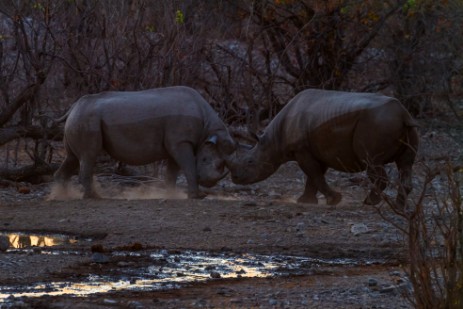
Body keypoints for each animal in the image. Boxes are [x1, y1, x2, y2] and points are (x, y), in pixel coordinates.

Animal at [54, 85, 236, 199]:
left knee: (73, 158)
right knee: (88, 155)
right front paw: (197, 197)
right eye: (205, 160)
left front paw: (171, 195)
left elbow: (172, 172)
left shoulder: (176, 144)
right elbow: (189, 166)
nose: (208, 183)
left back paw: (62, 196)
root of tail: (73, 107)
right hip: (87, 119)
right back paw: (94, 197)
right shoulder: (181, 142)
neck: (208, 130)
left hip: (81, 118)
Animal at [228, 88, 420, 206]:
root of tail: (403, 114)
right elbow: (313, 176)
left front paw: (333, 200)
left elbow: (314, 174)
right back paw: (398, 207)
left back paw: (369, 202)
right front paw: (305, 201)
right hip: (407, 127)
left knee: (373, 162)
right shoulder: (319, 150)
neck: (272, 140)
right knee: (405, 164)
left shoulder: (301, 150)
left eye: (250, 162)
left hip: (376, 125)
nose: (235, 178)